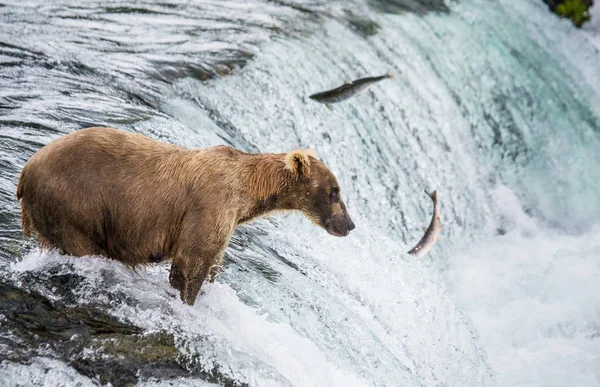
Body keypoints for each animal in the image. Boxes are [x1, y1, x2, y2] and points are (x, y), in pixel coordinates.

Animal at [16, 127, 354, 306]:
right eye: (334, 191)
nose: (349, 225)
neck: (246, 193)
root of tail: (25, 170)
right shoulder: (209, 207)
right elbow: (192, 263)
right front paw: (187, 300)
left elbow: (212, 263)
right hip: (75, 204)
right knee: (81, 245)